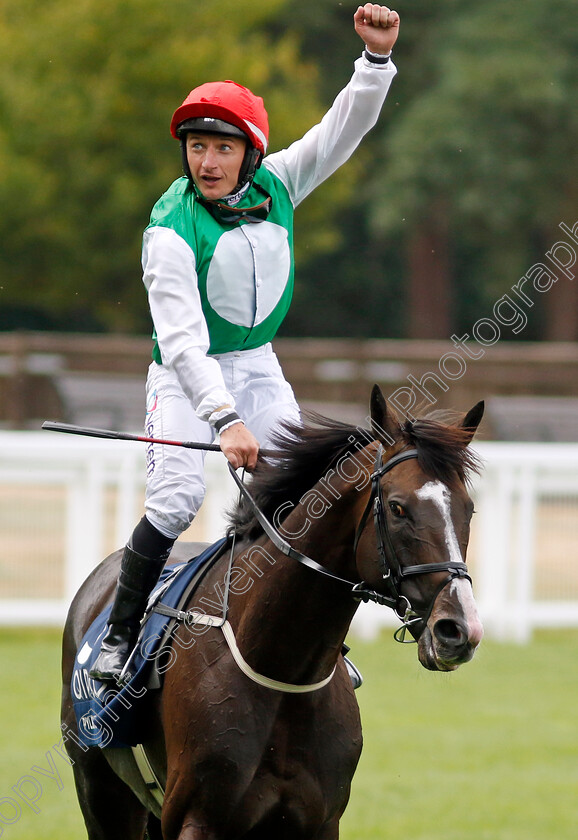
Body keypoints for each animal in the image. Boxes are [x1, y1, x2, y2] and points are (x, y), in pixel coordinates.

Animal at [60, 388, 484, 840]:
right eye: (399, 507)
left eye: (469, 509)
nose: (458, 630)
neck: (282, 669)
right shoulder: (196, 819)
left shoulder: (320, 822)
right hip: (100, 791)